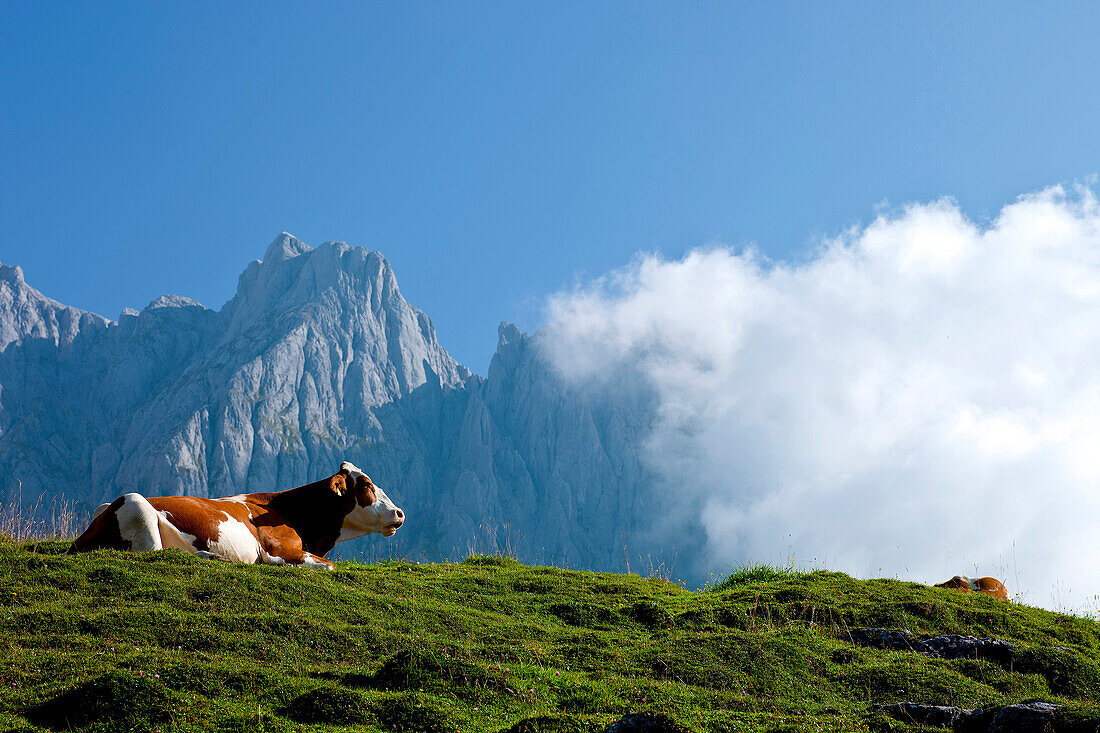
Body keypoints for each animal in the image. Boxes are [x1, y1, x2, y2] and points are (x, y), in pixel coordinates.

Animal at [68, 460, 404, 567]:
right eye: (366, 485)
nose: (399, 513)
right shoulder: (281, 548)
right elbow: (329, 567)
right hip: (136, 502)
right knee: (155, 552)